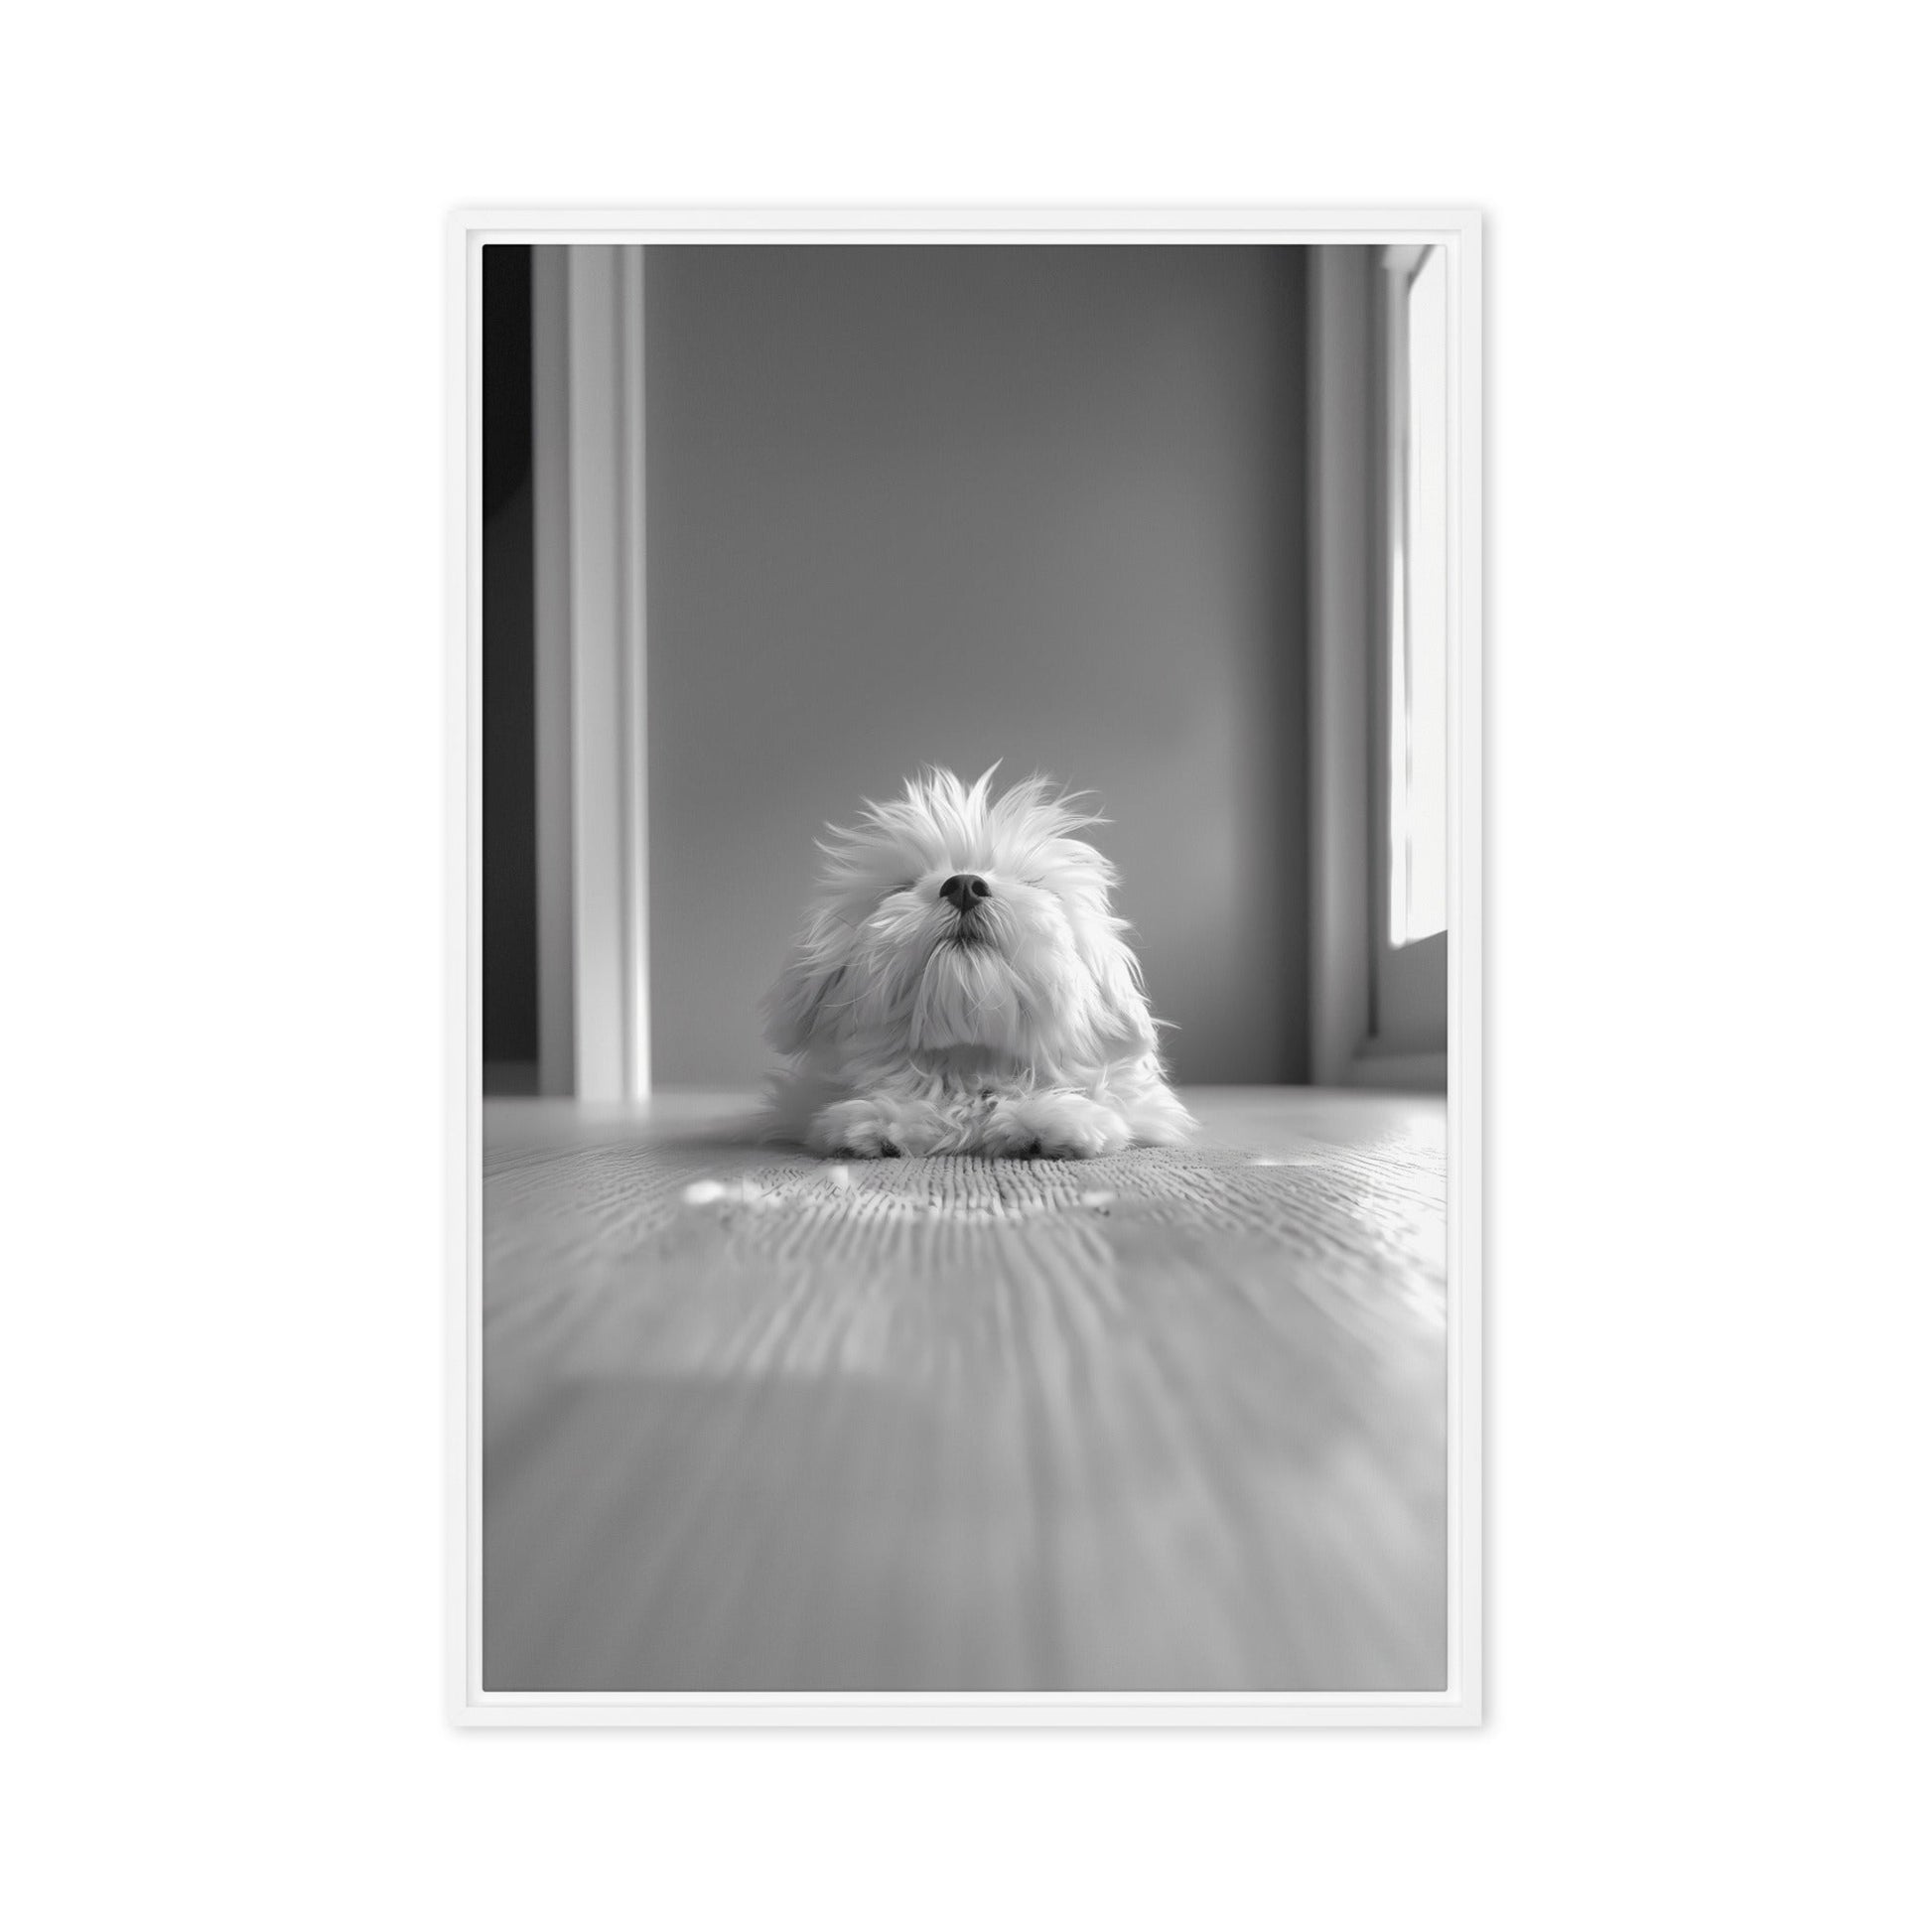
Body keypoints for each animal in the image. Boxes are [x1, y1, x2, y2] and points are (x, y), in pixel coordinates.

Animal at [757, 768, 1189, 1159]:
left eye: (1032, 884)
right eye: (903, 886)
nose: (964, 885)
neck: (970, 1062)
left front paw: (1051, 1118)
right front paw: (881, 1118)